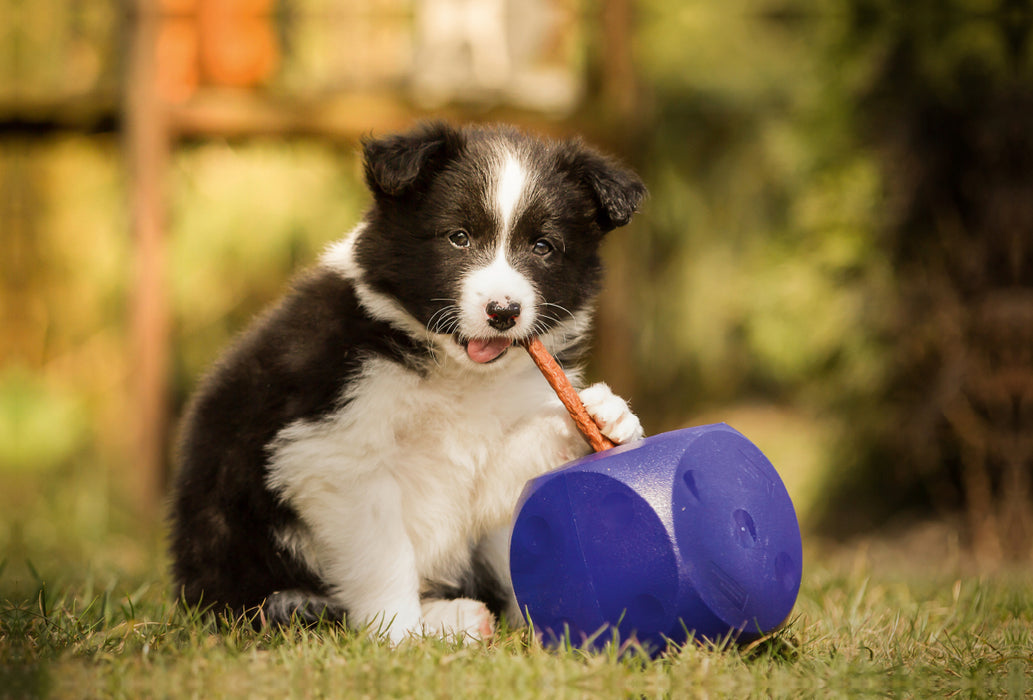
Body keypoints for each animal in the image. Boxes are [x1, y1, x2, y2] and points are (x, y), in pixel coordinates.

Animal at [173, 123, 648, 644]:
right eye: (458, 237)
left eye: (543, 247)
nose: (503, 312)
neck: (455, 371)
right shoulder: (334, 452)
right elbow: (384, 555)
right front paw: (398, 636)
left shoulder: (480, 460)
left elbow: (509, 474)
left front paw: (608, 417)